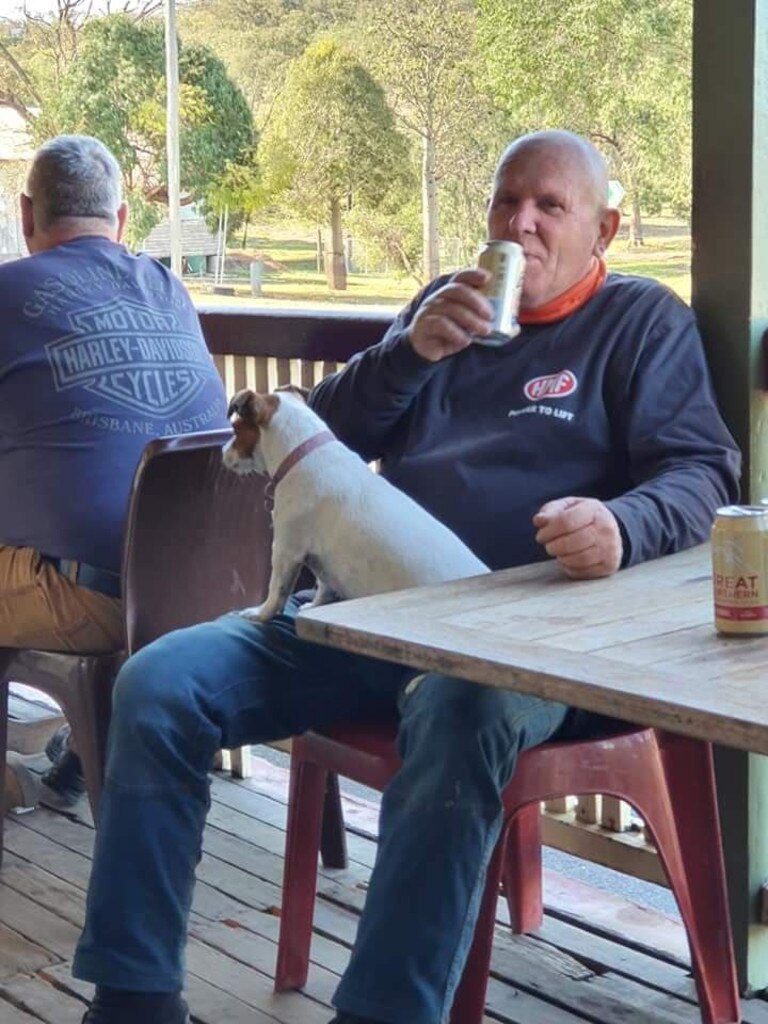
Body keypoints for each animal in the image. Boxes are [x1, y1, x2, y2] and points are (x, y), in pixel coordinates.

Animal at [224, 387, 487, 618]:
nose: (222, 452)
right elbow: (324, 586)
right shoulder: (319, 562)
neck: (301, 452)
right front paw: (316, 606)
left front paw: (260, 613)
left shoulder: (285, 550)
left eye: (235, 431)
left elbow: (276, 590)